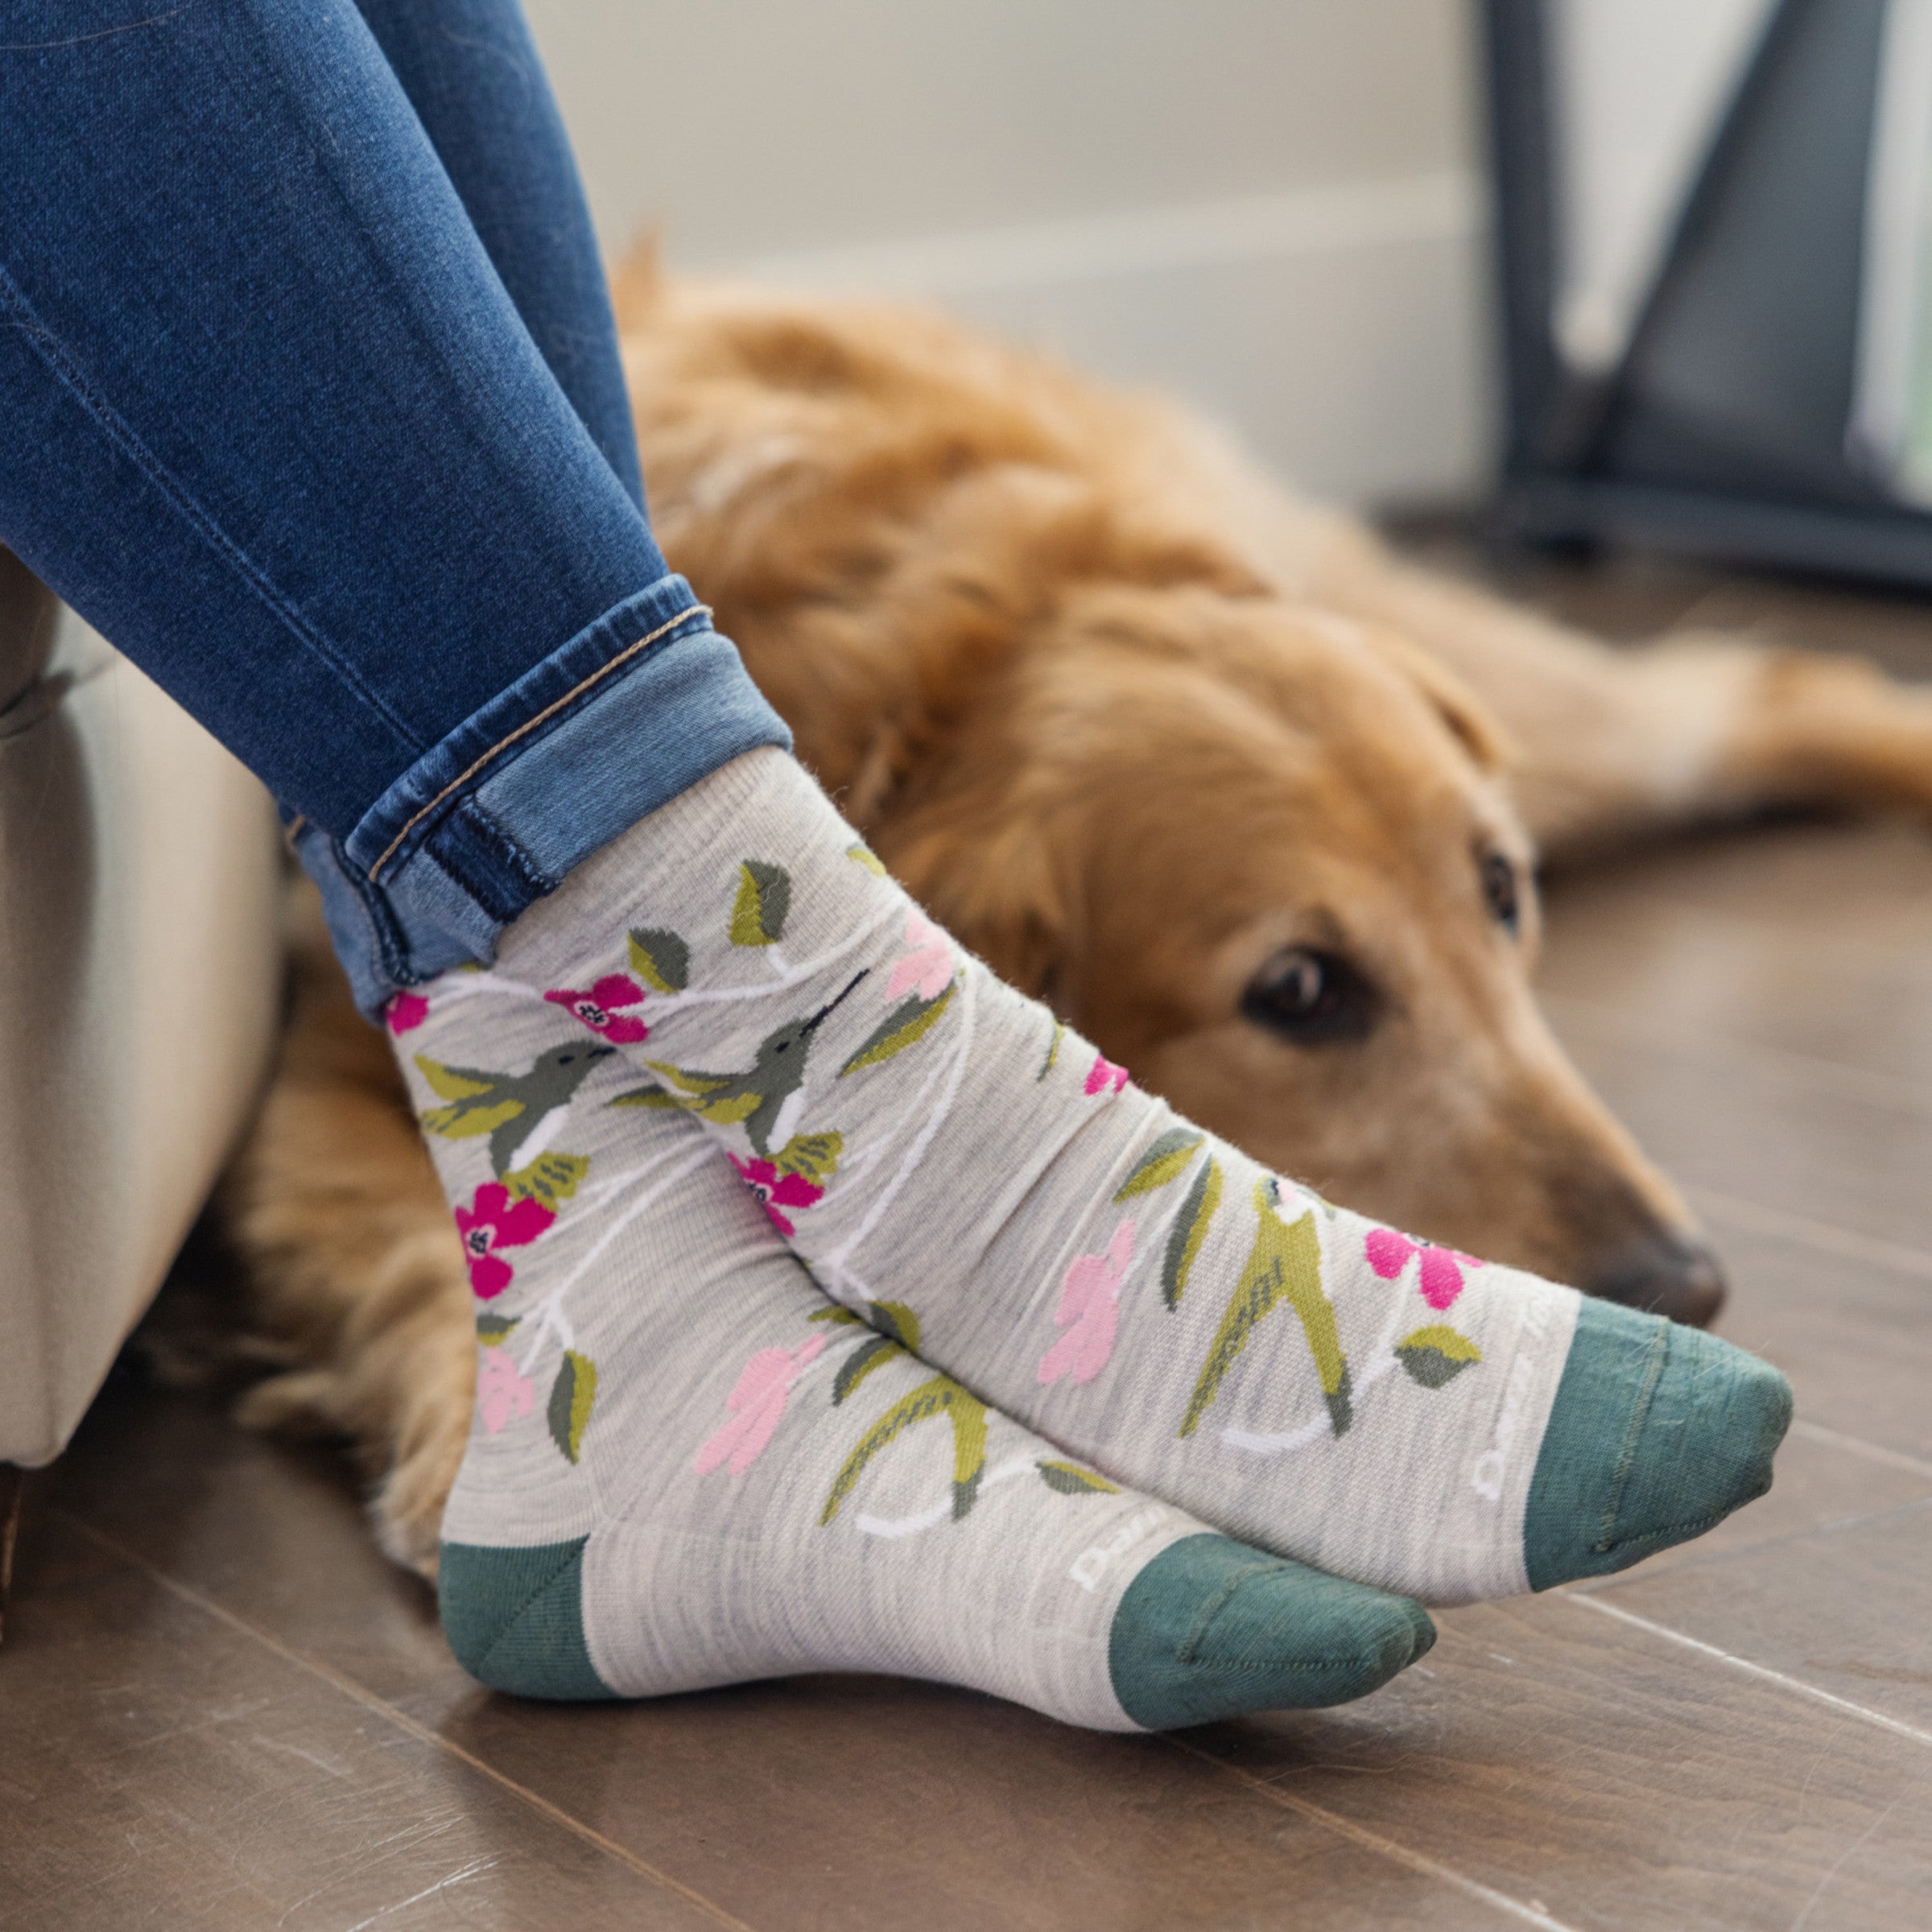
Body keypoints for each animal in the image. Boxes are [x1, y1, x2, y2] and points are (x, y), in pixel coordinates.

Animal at [219, 264, 1932, 1576]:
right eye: (1299, 990)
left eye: (1497, 894)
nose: (1683, 1288)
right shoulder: (330, 1058)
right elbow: (432, 1244)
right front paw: (491, 1434)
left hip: (1552, 720)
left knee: (1771, 690)